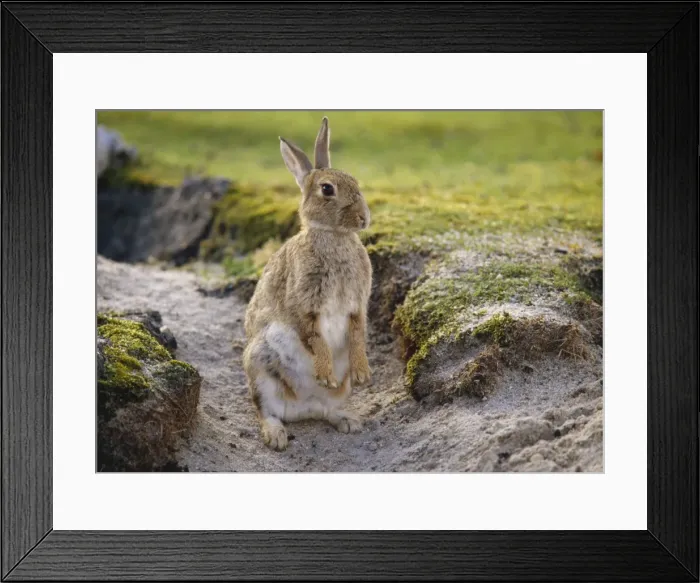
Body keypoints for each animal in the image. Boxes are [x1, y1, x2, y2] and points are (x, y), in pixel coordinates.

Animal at [242, 116, 373, 451]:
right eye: (327, 189)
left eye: (355, 181)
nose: (364, 218)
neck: (334, 236)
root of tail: (301, 406)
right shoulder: (304, 303)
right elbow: (314, 336)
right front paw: (324, 372)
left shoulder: (357, 304)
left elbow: (357, 333)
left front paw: (363, 372)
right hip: (259, 365)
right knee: (266, 411)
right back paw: (276, 437)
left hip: (338, 391)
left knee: (326, 410)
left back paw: (348, 420)